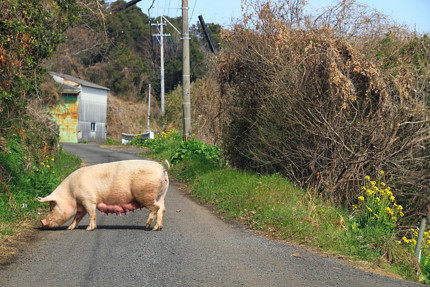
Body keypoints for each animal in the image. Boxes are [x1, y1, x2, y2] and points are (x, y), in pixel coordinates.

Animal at [35, 160, 170, 232]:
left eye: (52, 207)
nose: (42, 222)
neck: (71, 193)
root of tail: (162, 169)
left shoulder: (88, 199)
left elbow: (92, 214)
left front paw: (89, 229)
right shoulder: (81, 204)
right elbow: (77, 216)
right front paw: (70, 228)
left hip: (146, 195)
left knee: (156, 208)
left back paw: (147, 226)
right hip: (161, 195)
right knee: (162, 209)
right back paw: (157, 228)